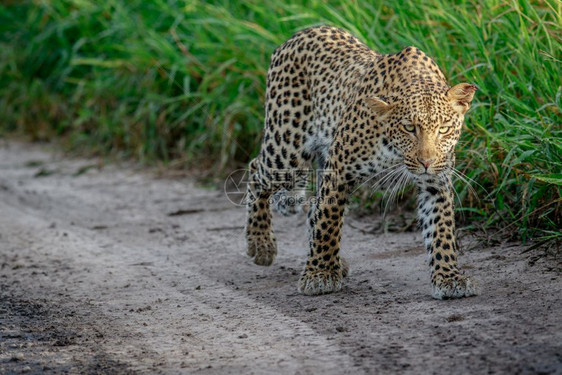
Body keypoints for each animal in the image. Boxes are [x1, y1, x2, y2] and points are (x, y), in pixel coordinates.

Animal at [242, 25, 476, 300]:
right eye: (409, 128)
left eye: (444, 129)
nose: (426, 161)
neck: (394, 151)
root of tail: (300, 32)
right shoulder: (339, 168)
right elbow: (329, 219)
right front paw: (320, 274)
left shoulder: (435, 182)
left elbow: (441, 229)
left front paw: (449, 277)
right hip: (286, 150)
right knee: (256, 170)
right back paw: (261, 244)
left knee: (311, 207)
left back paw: (334, 262)